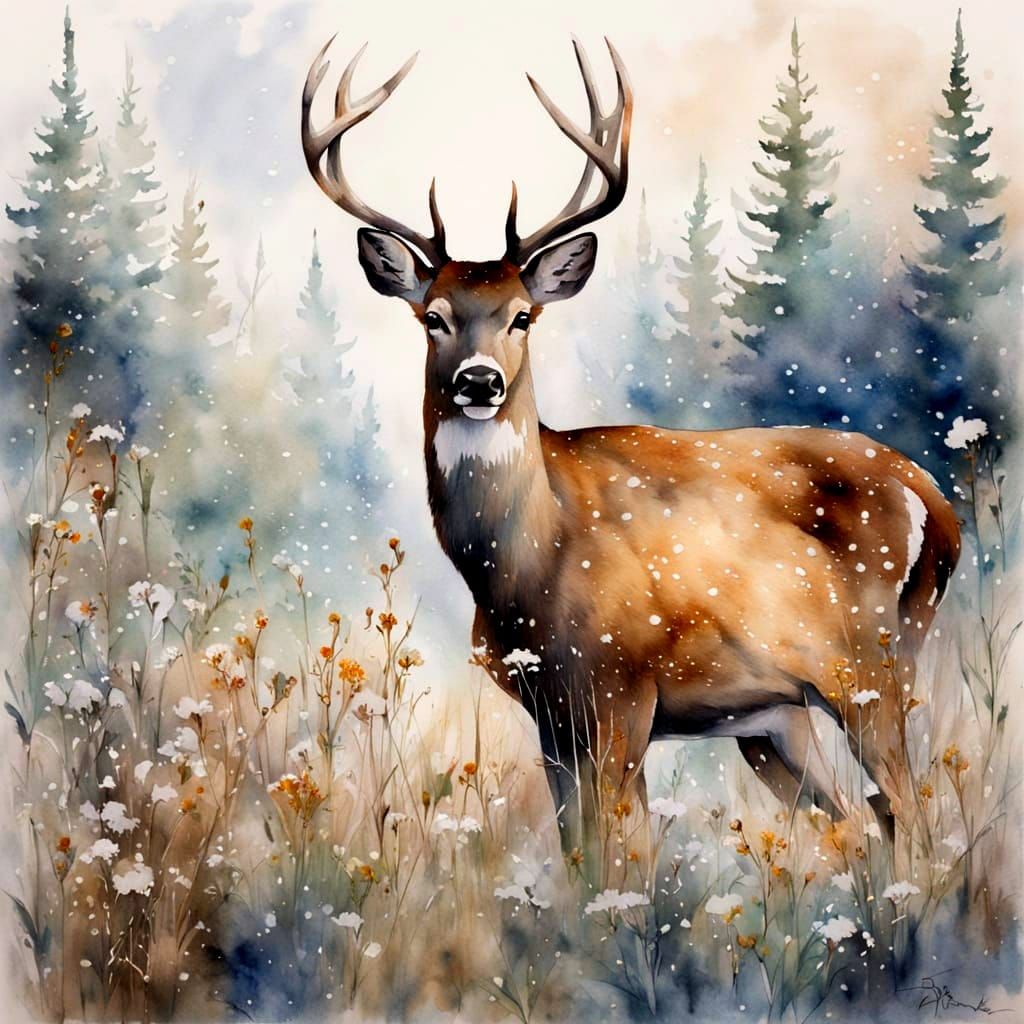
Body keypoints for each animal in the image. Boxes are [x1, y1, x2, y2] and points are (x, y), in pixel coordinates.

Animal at [301, 35, 961, 885]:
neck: (526, 565)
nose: (478, 382)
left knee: (911, 814)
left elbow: (624, 860)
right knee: (864, 821)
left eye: (523, 315)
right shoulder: (550, 713)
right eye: (433, 317)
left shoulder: (623, 688)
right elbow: (578, 857)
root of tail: (935, 504)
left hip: (872, 665)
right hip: (778, 719)